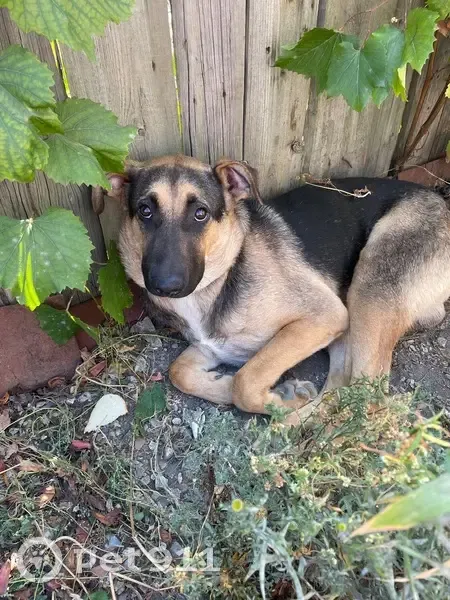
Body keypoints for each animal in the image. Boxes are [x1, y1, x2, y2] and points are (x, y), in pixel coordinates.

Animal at [94, 155, 450, 425]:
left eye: (200, 213)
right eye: (145, 211)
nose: (165, 286)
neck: (226, 271)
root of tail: (440, 200)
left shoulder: (325, 315)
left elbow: (247, 380)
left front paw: (277, 399)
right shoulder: (211, 347)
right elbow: (179, 371)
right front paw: (254, 390)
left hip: (370, 286)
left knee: (369, 395)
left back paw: (292, 426)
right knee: (343, 384)